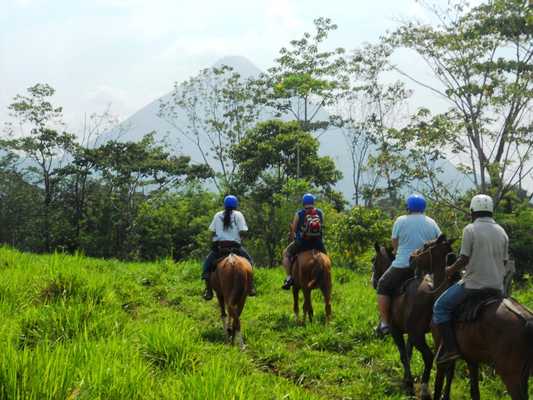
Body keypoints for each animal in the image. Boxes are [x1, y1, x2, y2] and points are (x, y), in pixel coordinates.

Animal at [370, 234, 454, 396]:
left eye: (373, 261)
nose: (374, 282)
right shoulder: (409, 332)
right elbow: (409, 354)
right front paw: (406, 377)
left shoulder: (396, 331)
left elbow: (403, 355)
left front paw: (408, 382)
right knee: (448, 365)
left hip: (418, 334)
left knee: (429, 357)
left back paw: (424, 388)